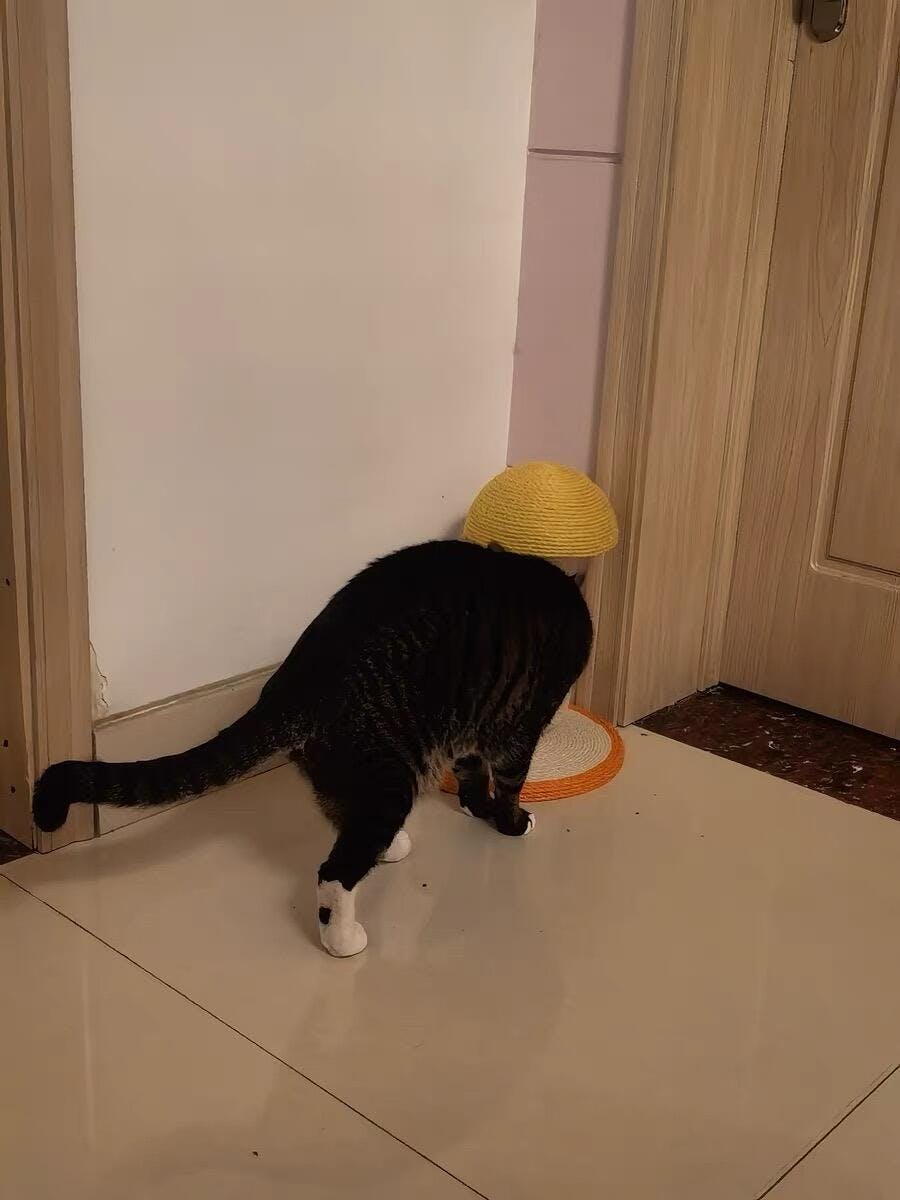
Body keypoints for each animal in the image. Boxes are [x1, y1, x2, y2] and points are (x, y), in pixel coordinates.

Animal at [33, 540, 593, 956]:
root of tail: (295, 683)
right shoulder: (519, 726)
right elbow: (511, 783)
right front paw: (513, 822)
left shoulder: (473, 729)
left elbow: (473, 774)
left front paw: (476, 807)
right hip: (386, 776)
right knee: (334, 873)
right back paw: (344, 938)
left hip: (356, 770)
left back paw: (392, 847)